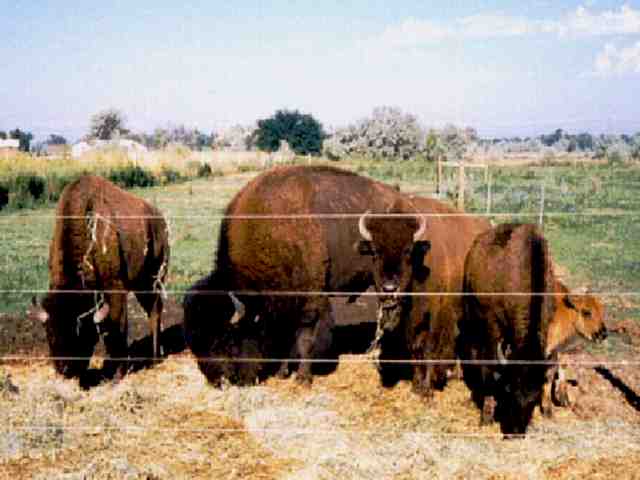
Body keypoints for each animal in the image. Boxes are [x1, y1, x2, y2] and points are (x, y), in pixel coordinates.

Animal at [27, 174, 170, 384]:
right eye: (49, 333)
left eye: (80, 337)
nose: (65, 370)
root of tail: (160, 220)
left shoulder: (115, 289)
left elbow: (116, 330)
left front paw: (118, 374)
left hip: (152, 281)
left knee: (155, 311)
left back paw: (155, 357)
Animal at [185, 166, 404, 386]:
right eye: (196, 342)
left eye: (227, 339)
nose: (218, 380)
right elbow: (286, 336)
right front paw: (282, 373)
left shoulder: (310, 300)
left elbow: (304, 338)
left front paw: (303, 378)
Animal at [356, 193, 490, 396]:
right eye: (375, 252)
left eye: (408, 251)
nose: (389, 288)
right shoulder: (411, 321)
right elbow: (415, 348)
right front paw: (416, 385)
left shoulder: (435, 314)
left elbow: (429, 347)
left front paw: (427, 390)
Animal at [460, 223, 556, 436]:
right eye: (512, 391)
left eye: (534, 397)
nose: (516, 432)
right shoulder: (492, 328)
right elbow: (489, 368)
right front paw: (486, 416)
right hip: (472, 316)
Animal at [540, 284, 608, 414]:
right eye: (587, 312)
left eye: (602, 311)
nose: (603, 335)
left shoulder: (558, 351)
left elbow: (557, 371)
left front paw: (563, 401)